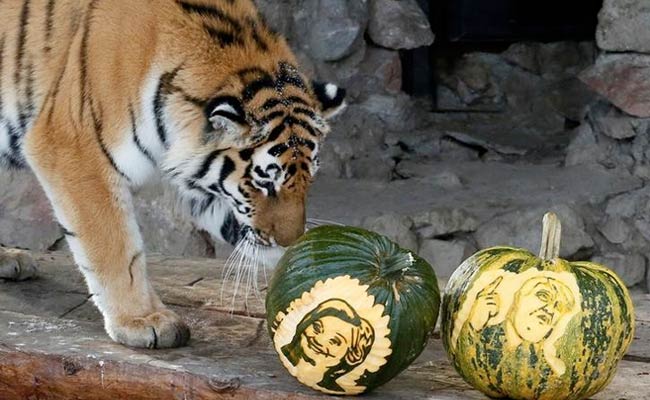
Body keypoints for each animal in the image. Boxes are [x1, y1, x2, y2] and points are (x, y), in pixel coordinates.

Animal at [0, 0, 346, 349]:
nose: (289, 241)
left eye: (308, 179)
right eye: (264, 182)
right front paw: (142, 321)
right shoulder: (73, 147)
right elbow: (115, 246)